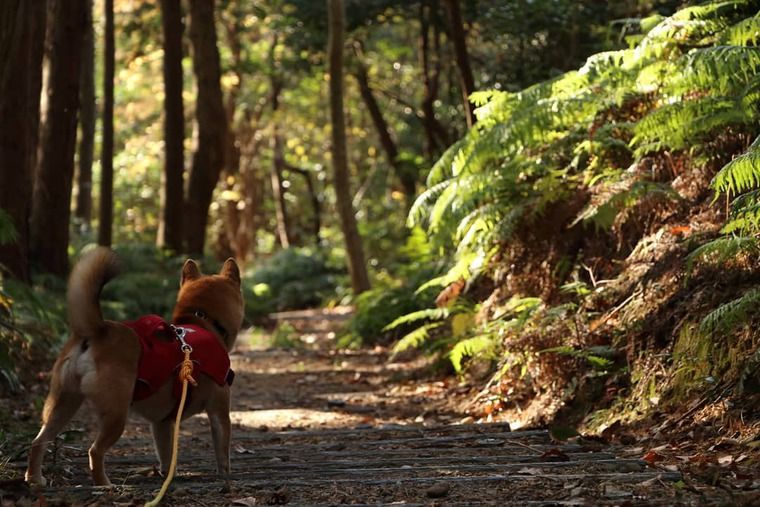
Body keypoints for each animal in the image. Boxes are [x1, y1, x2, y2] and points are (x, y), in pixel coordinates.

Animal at [25, 249, 243, 488]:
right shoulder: (218, 412)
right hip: (115, 414)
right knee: (94, 451)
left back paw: (35, 478)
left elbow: (166, 457)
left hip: (63, 404)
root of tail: (97, 330)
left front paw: (168, 476)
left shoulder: (162, 423)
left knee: (38, 441)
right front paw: (225, 475)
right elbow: (222, 453)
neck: (202, 321)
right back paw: (105, 484)